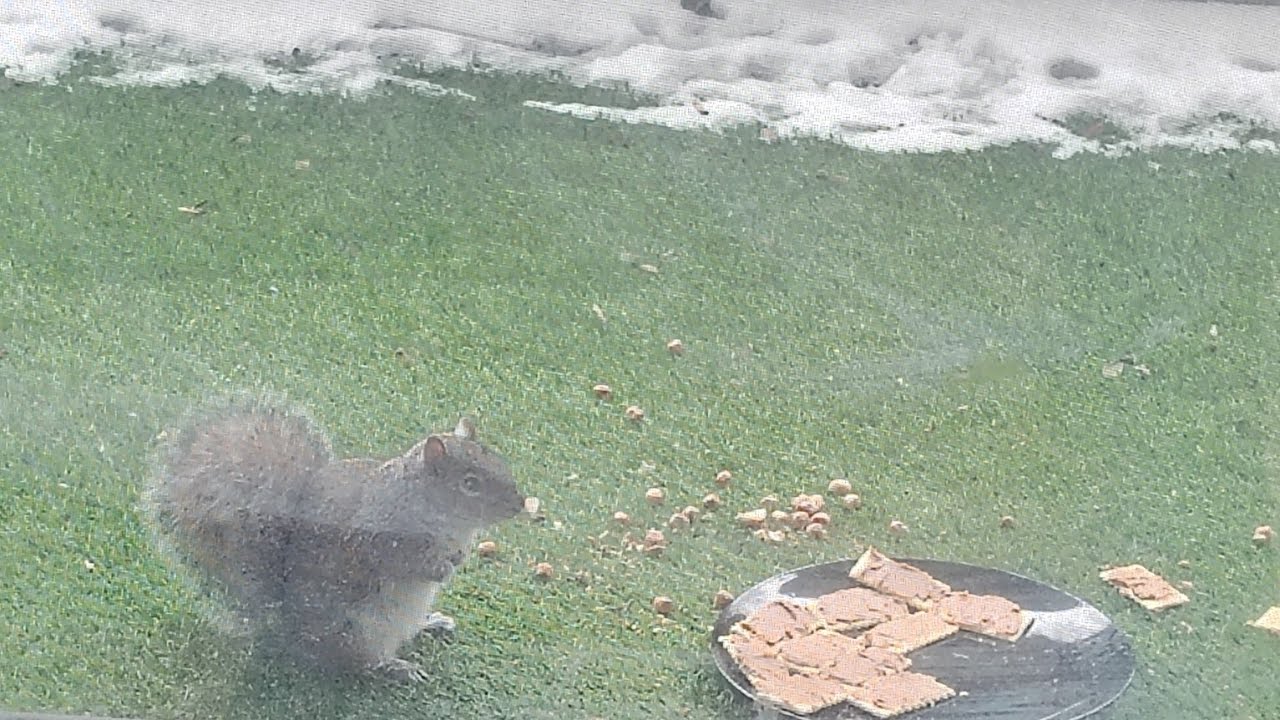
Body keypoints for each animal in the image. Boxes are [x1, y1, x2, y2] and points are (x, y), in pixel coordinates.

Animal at [145, 396, 526, 683]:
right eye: (470, 483)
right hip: (358, 629)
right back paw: (395, 667)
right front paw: (441, 567)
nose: (520, 504)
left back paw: (432, 623)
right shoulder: (384, 532)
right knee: (359, 662)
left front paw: (458, 557)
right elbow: (404, 559)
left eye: (496, 458)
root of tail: (289, 627)